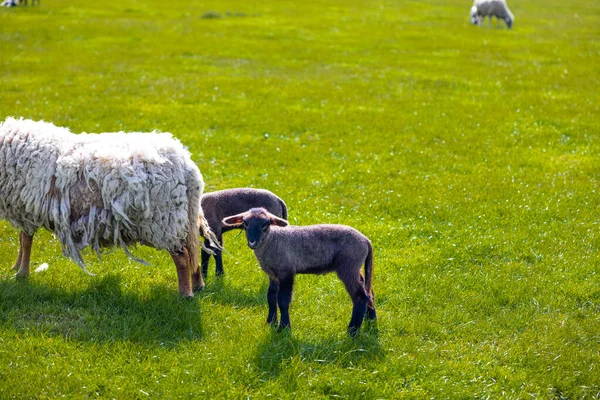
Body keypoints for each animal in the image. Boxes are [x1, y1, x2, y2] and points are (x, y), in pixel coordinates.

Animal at [0, 116, 218, 296]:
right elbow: (22, 240)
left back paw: (185, 294)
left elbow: (25, 241)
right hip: (185, 217)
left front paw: (21, 274)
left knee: (182, 255)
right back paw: (198, 285)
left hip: (163, 221)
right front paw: (16, 267)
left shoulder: (26, 209)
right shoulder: (25, 210)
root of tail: (187, 168)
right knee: (193, 250)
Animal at [225, 208, 376, 336]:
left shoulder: (286, 271)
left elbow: (283, 300)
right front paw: (270, 323)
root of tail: (366, 240)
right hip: (355, 267)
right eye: (245, 223)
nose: (252, 242)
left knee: (360, 296)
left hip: (348, 265)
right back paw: (371, 319)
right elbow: (271, 297)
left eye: (266, 224)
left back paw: (352, 331)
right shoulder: (273, 274)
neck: (272, 240)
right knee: (368, 291)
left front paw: (284, 328)